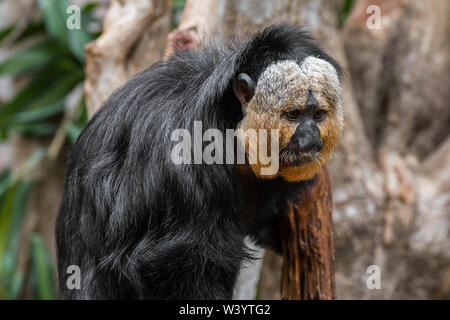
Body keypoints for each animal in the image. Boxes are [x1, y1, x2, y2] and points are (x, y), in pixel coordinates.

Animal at [57, 23, 344, 300]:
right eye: (293, 115)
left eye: (318, 115)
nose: (310, 139)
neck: (232, 126)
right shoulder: (192, 154)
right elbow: (172, 263)